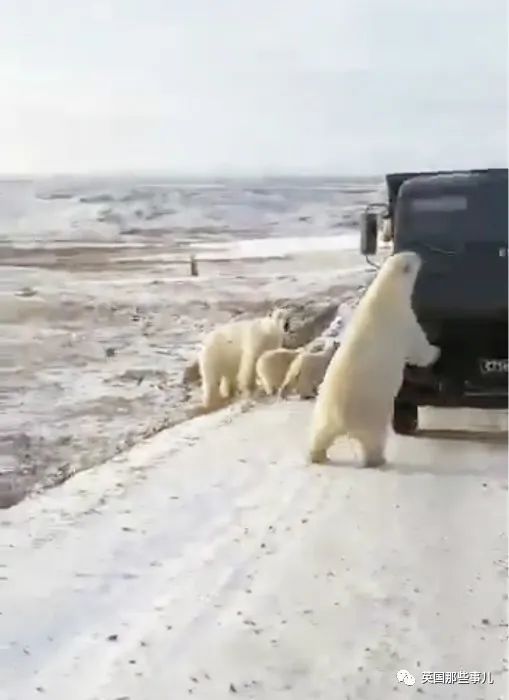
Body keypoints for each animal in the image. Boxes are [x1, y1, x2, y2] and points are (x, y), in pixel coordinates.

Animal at [308, 252, 438, 464]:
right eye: (412, 258)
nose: (421, 256)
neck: (384, 295)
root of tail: (342, 421)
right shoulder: (404, 320)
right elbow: (418, 347)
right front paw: (435, 352)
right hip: (370, 415)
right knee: (373, 439)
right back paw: (377, 459)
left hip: (324, 410)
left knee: (320, 433)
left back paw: (316, 454)